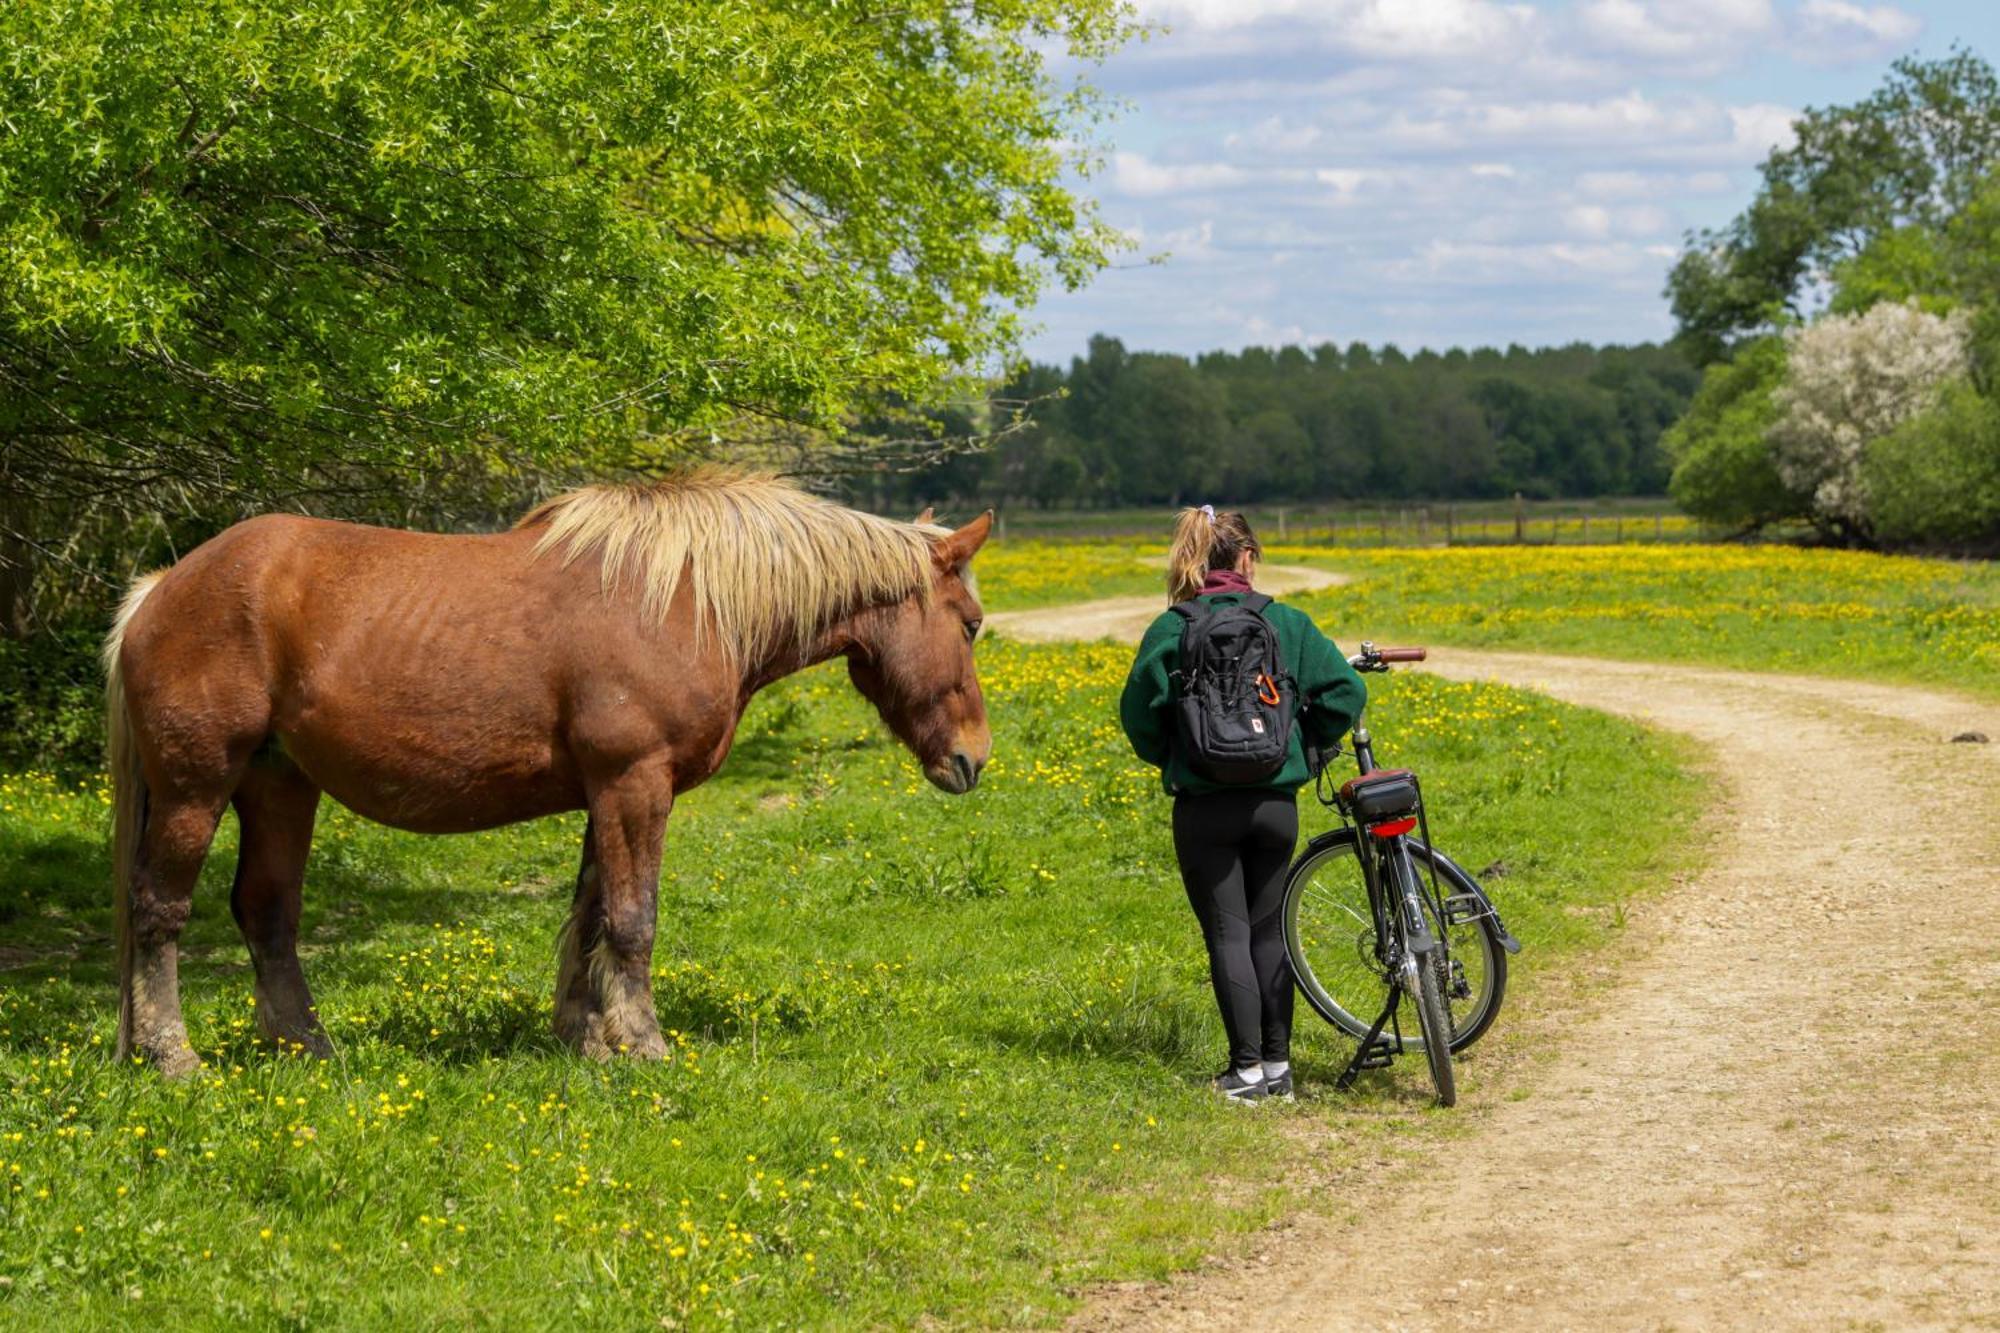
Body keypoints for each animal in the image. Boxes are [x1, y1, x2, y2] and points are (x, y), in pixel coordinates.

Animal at [101, 466, 992, 1072]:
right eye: (972, 624)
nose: (972, 758)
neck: (687, 599)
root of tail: (160, 590)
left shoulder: (608, 793)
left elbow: (592, 915)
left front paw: (585, 1038)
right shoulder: (636, 783)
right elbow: (633, 920)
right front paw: (643, 1042)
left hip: (280, 786)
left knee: (267, 914)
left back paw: (307, 1045)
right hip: (194, 788)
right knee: (159, 910)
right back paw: (171, 1055)